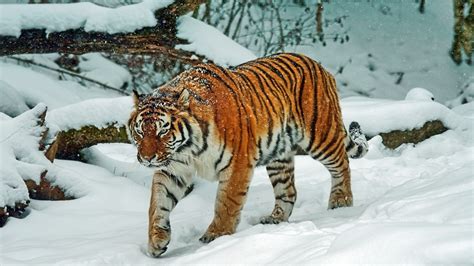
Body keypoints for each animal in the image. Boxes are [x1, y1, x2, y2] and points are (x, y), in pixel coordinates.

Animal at [128, 52, 368, 258]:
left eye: (163, 131)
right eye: (140, 131)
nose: (147, 158)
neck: (188, 149)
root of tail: (319, 65)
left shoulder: (237, 164)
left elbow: (226, 204)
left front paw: (216, 237)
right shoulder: (173, 169)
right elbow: (157, 203)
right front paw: (156, 241)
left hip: (320, 135)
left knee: (342, 164)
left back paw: (341, 202)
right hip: (279, 156)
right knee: (288, 191)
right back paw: (275, 219)